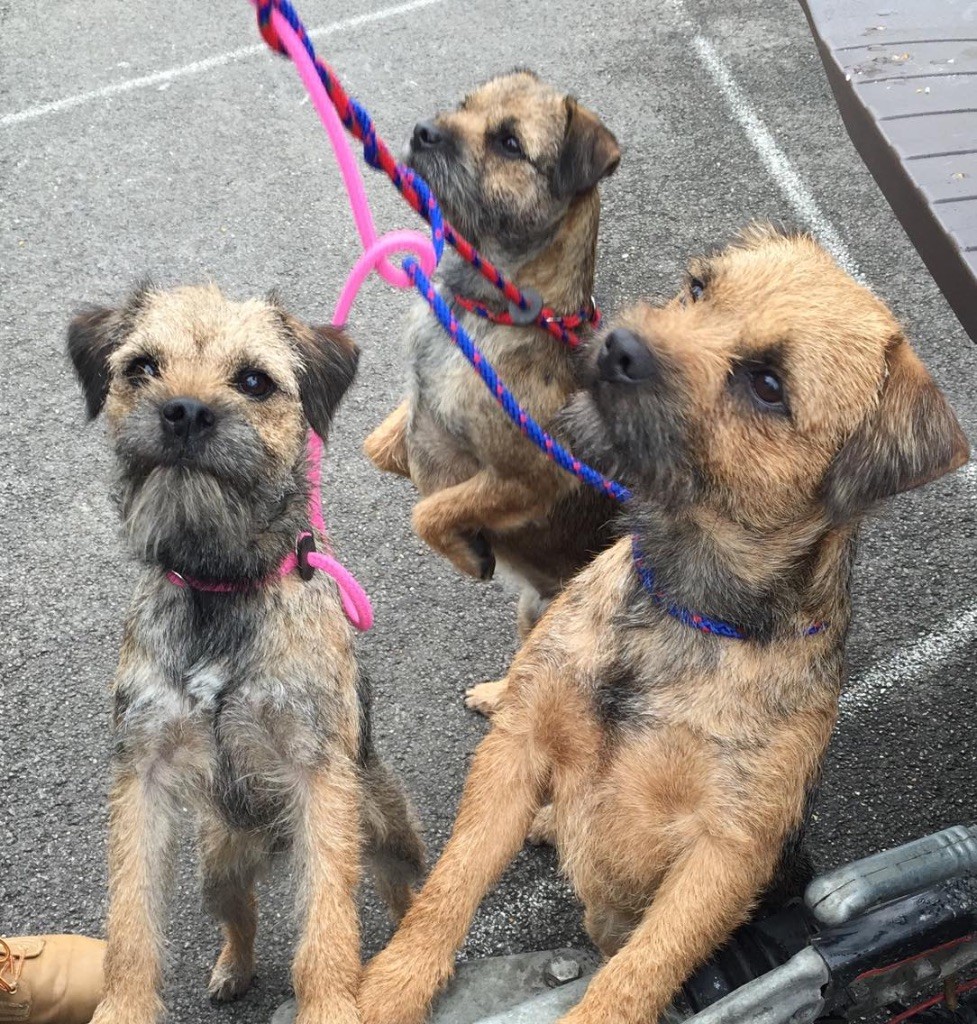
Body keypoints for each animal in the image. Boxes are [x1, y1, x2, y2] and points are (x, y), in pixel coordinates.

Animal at [64, 282, 421, 1024]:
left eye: (254, 381)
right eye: (141, 368)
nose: (183, 412)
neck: (219, 585)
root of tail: (270, 839)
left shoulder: (318, 778)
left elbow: (327, 928)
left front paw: (332, 1004)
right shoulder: (142, 775)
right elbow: (130, 921)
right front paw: (123, 1005)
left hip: (382, 828)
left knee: (397, 890)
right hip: (218, 863)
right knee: (241, 914)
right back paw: (233, 968)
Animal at [358, 228, 966, 1024]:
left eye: (768, 384)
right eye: (698, 288)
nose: (617, 344)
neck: (686, 608)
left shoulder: (723, 854)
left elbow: (640, 970)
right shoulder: (517, 751)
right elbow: (448, 886)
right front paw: (386, 989)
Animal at [362, 74, 622, 696]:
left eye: (508, 142)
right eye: (464, 106)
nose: (421, 131)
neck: (491, 314)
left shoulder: (528, 477)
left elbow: (431, 510)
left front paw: (466, 551)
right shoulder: (416, 413)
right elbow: (384, 446)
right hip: (531, 614)